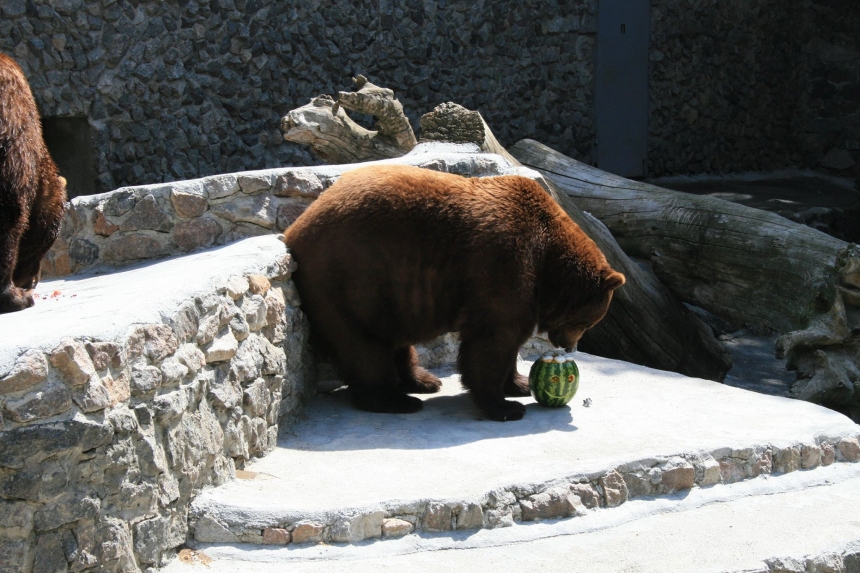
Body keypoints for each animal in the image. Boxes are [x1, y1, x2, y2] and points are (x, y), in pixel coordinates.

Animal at [284, 164, 624, 420]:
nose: (569, 346)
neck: (547, 261)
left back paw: (422, 381)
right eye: (586, 322)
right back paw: (395, 399)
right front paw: (505, 407)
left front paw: (520, 384)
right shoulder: (504, 261)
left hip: (386, 292)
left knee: (394, 340)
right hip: (348, 281)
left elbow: (509, 339)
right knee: (363, 345)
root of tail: (293, 231)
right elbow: (494, 336)